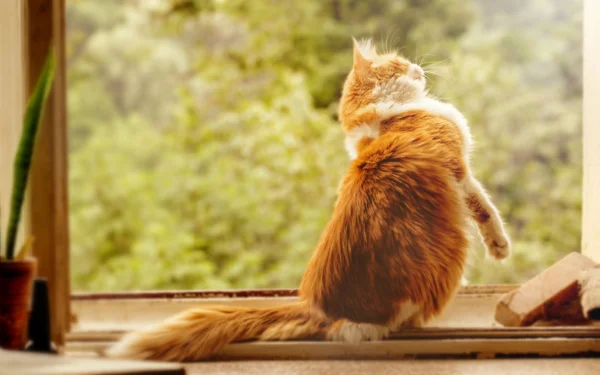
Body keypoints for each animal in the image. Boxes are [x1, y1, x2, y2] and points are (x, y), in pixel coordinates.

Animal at [105, 37, 508, 362]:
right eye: (398, 61)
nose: (419, 67)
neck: (386, 119)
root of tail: (317, 306)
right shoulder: (459, 169)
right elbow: (484, 210)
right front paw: (500, 248)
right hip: (449, 255)